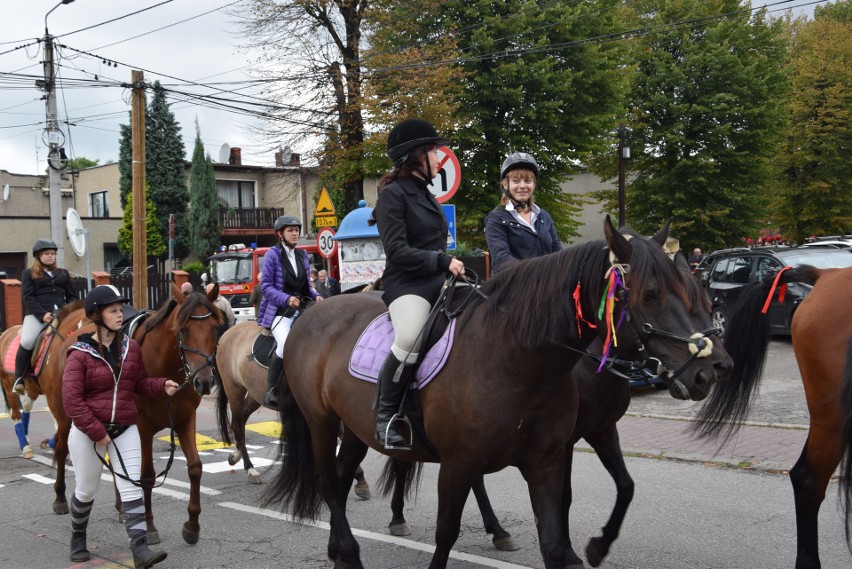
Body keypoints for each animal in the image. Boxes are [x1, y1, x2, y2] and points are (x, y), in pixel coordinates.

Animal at [264, 219, 724, 568]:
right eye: (651, 294)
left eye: (700, 296)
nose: (710, 371)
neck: (516, 356)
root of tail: (314, 310)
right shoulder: (458, 463)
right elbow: (446, 534)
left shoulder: (558, 453)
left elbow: (572, 524)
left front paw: (588, 548)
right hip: (322, 422)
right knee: (327, 481)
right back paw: (352, 551)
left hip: (357, 428)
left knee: (342, 481)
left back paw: (340, 550)